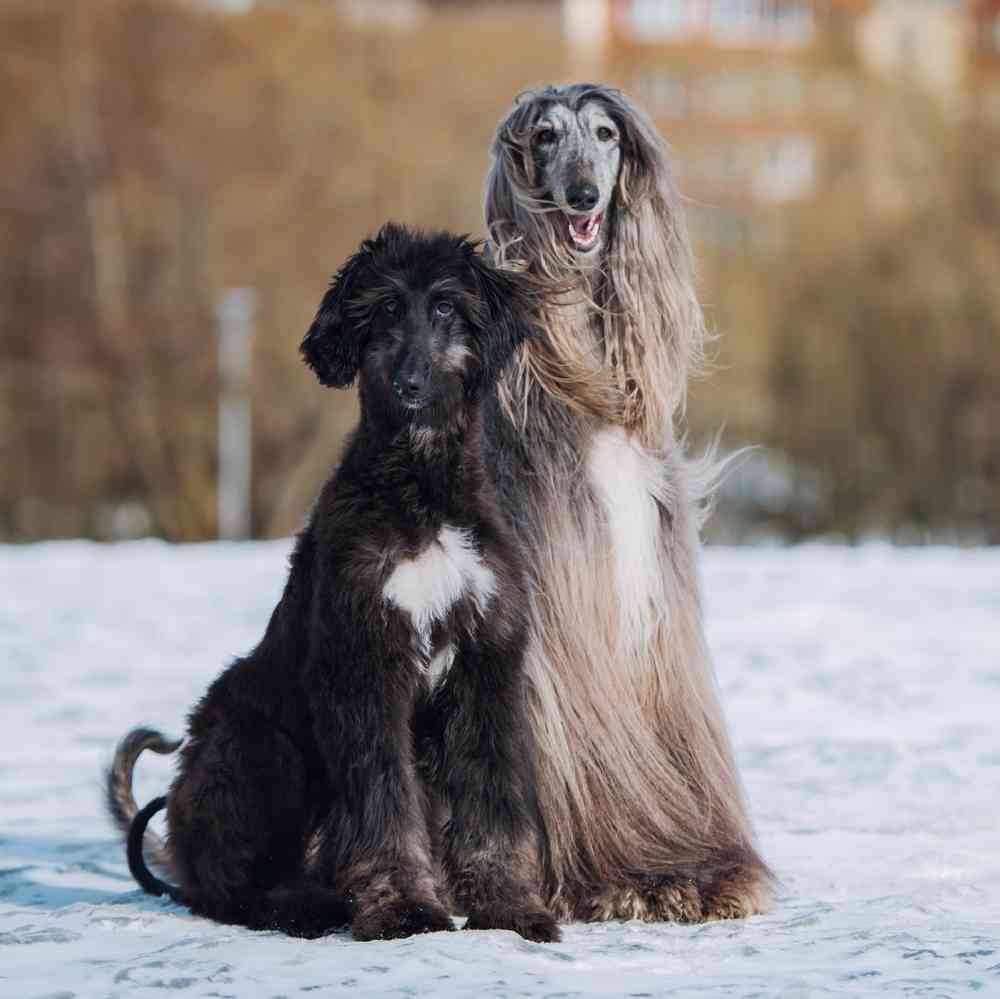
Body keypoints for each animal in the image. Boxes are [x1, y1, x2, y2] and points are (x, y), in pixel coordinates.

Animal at [110, 225, 564, 944]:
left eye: (445, 306)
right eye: (384, 308)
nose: (409, 384)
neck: (422, 490)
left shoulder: (485, 665)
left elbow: (492, 798)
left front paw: (509, 906)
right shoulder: (364, 662)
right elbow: (383, 802)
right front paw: (403, 908)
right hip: (253, 744)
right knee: (225, 883)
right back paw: (300, 904)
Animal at [484, 86, 772, 920]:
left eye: (607, 134)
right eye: (545, 136)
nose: (584, 195)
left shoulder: (656, 587)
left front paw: (708, 867)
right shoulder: (556, 593)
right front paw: (627, 877)